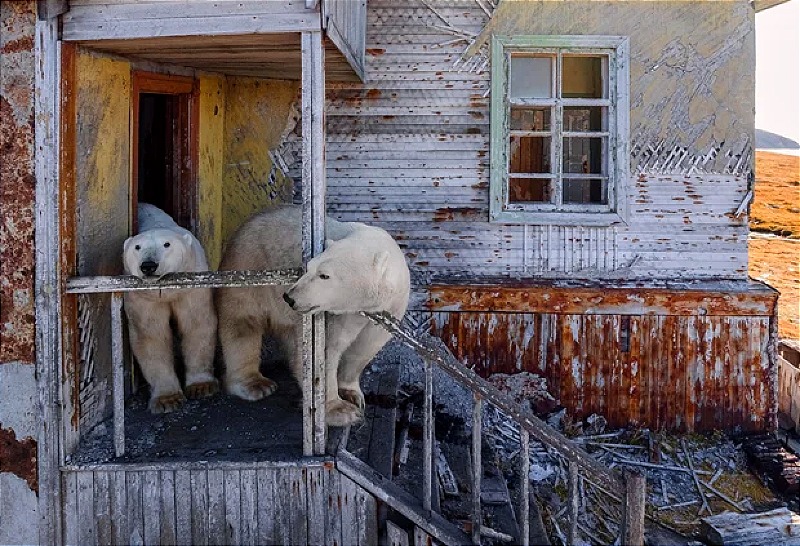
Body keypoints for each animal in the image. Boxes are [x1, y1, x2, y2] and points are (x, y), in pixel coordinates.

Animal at [122, 203, 219, 413]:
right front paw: (167, 399)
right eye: (137, 247)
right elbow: (151, 336)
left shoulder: (190, 284)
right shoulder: (144, 295)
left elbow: (196, 325)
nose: (148, 265)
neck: (166, 291)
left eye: (167, 244)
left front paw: (201, 386)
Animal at [216, 205, 410, 427]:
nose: (290, 297)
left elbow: (365, 346)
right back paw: (255, 384)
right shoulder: (336, 313)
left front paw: (352, 394)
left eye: (324, 275)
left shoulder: (389, 308)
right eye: (309, 267)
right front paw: (340, 410)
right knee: (242, 324)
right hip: (249, 269)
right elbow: (325, 350)